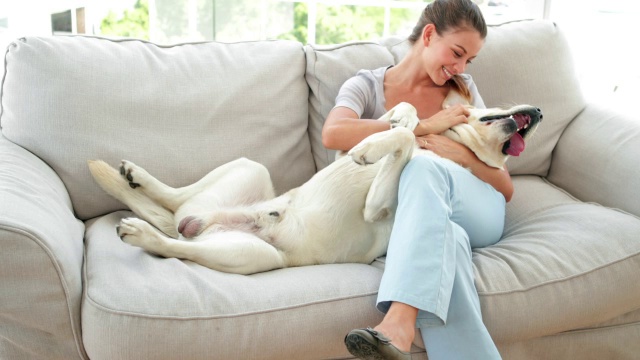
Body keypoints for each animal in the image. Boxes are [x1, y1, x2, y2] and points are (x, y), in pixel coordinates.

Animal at [89, 97, 540, 274]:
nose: (538, 112)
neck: (456, 150)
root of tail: (200, 224)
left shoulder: (376, 207)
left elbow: (404, 142)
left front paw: (375, 147)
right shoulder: (337, 156)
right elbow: (404, 121)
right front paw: (400, 122)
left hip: (253, 255)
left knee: (176, 243)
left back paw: (142, 232)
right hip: (249, 170)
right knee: (175, 197)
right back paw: (135, 175)